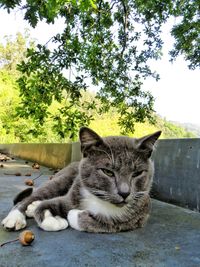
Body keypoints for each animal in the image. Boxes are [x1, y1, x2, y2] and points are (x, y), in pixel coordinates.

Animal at [1, 126, 161, 233]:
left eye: (137, 173)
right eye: (107, 172)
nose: (124, 193)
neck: (99, 199)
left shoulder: (138, 215)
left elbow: (109, 222)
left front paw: (73, 215)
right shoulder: (71, 197)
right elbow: (47, 206)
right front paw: (55, 220)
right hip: (62, 180)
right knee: (32, 197)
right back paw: (16, 216)